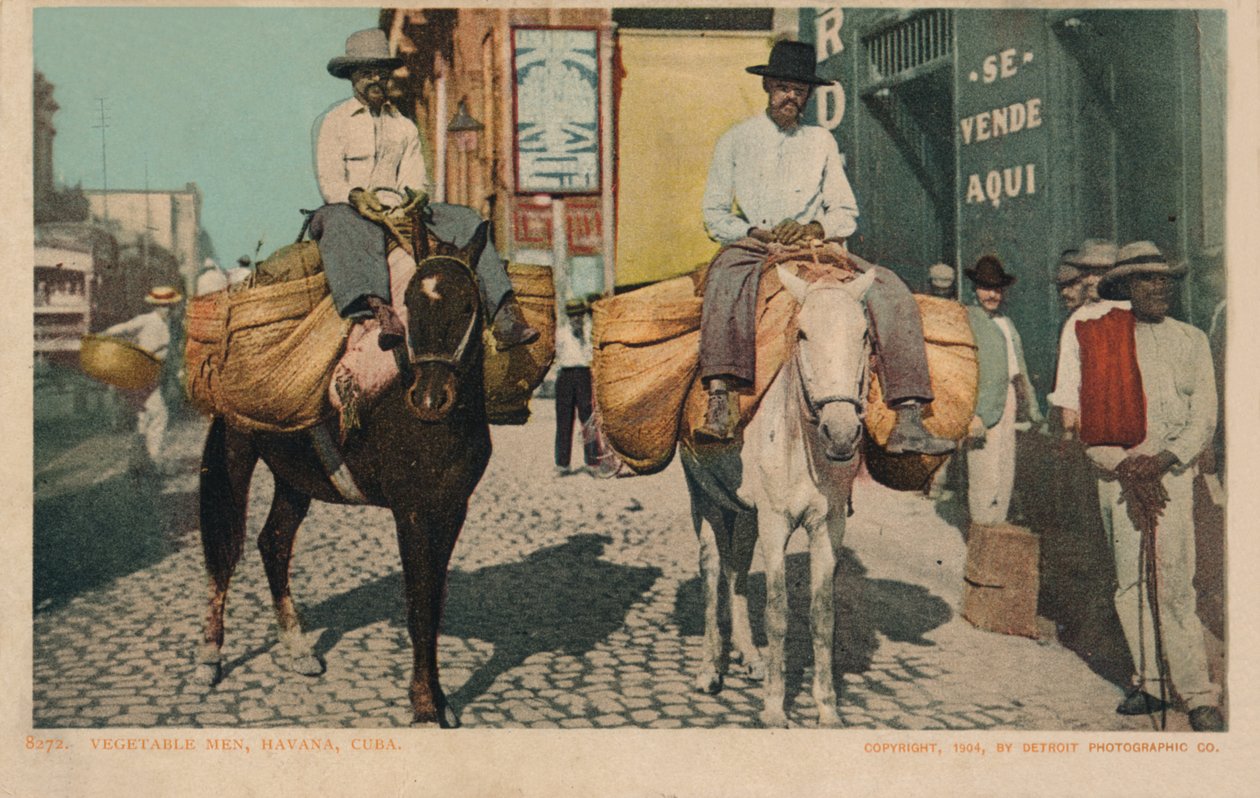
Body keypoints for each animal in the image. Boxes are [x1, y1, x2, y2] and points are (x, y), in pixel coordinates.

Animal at [194, 226, 488, 726]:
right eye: (410, 302)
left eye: (468, 304)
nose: (429, 400)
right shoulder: (411, 512)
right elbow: (418, 603)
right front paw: (425, 705)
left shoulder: (452, 510)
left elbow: (434, 602)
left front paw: (440, 701)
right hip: (236, 457)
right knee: (225, 551)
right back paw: (211, 656)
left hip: (295, 479)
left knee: (273, 544)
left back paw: (298, 650)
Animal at [680, 264, 876, 726]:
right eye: (802, 333)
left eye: (864, 334)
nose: (842, 433)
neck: (800, 441)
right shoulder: (775, 523)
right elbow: (778, 612)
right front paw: (773, 708)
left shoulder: (828, 525)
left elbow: (822, 615)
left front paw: (827, 708)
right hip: (705, 497)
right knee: (711, 571)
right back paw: (709, 670)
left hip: (745, 511)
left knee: (735, 568)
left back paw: (750, 657)